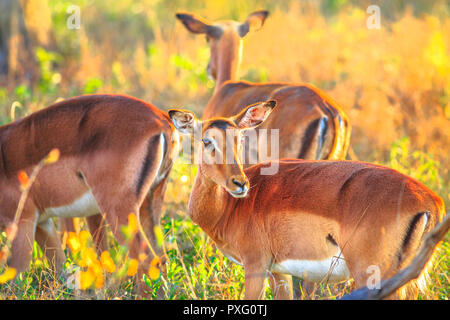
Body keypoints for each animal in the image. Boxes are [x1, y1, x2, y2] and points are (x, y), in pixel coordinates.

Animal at [0, 93, 177, 290]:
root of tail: (163, 121)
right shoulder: (42, 223)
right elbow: (61, 268)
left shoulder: (21, 221)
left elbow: (15, 278)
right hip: (150, 202)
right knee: (162, 258)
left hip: (118, 210)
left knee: (146, 260)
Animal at [169, 102, 446, 300]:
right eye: (207, 141)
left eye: (240, 139)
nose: (240, 184)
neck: (230, 208)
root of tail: (431, 202)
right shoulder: (279, 271)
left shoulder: (255, 265)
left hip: (374, 276)